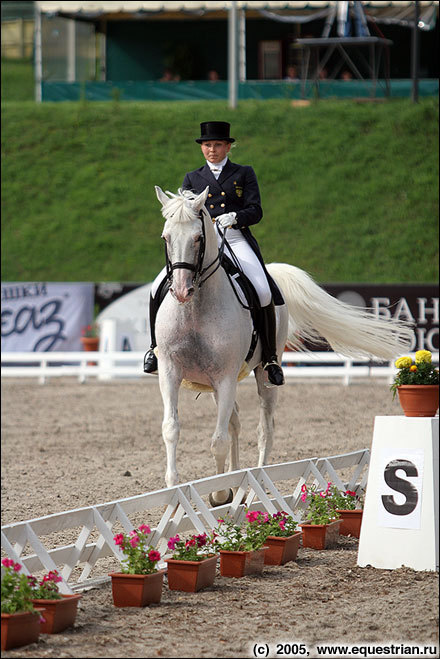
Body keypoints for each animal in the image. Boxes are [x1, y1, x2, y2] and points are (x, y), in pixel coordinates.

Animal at [154, 186, 412, 506]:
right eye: (165, 237)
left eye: (198, 238)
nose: (180, 290)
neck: (195, 309)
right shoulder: (171, 371)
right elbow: (171, 429)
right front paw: (172, 492)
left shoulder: (225, 377)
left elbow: (218, 441)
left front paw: (218, 493)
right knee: (234, 423)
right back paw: (235, 481)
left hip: (263, 374)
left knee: (264, 429)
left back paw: (254, 486)